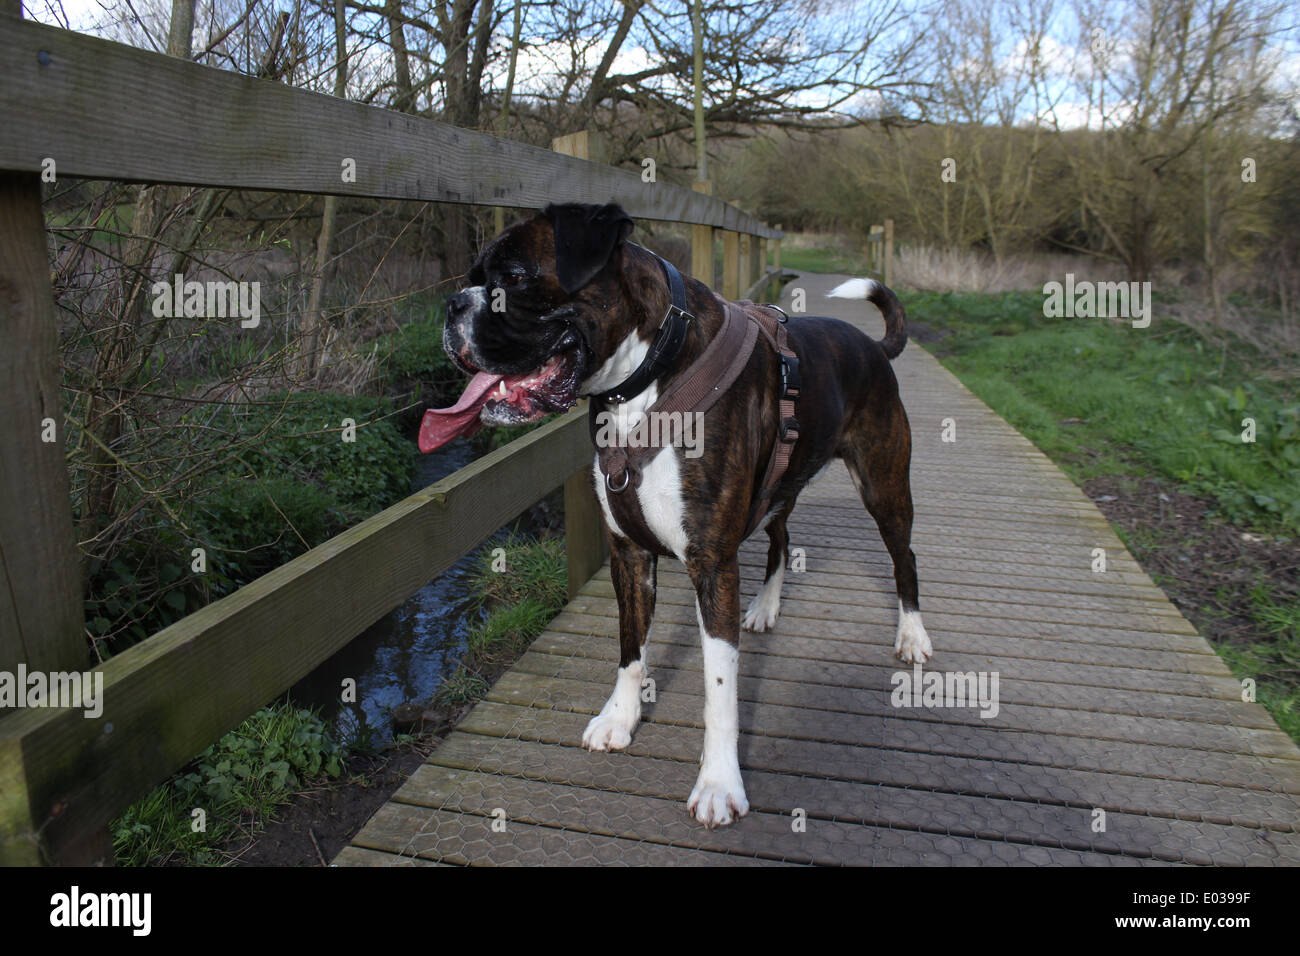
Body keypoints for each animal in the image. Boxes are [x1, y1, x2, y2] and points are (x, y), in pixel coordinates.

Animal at [421, 201, 930, 832]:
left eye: (513, 279)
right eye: (473, 276)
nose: (452, 304)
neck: (645, 378)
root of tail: (872, 346)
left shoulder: (712, 565)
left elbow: (720, 689)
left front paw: (719, 784)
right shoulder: (630, 555)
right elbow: (630, 649)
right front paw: (620, 718)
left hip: (884, 487)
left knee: (904, 558)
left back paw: (912, 635)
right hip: (781, 485)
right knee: (781, 537)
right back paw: (765, 607)